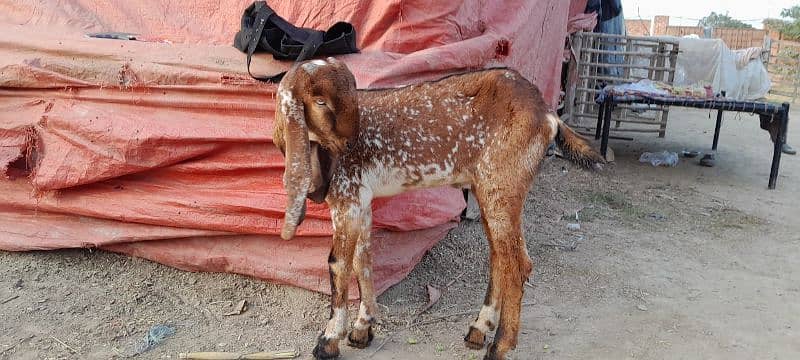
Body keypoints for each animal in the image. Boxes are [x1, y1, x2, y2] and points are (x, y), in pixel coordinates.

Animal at [272, 57, 604, 358]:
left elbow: (338, 264)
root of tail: (547, 113)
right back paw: (478, 330)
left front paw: (328, 341)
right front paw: (362, 329)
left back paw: (499, 346)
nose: (350, 144)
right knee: (500, 258)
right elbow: (362, 260)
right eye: (320, 100)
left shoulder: (347, 200)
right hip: (489, 189)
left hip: (502, 185)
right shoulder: (359, 202)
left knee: (518, 264)